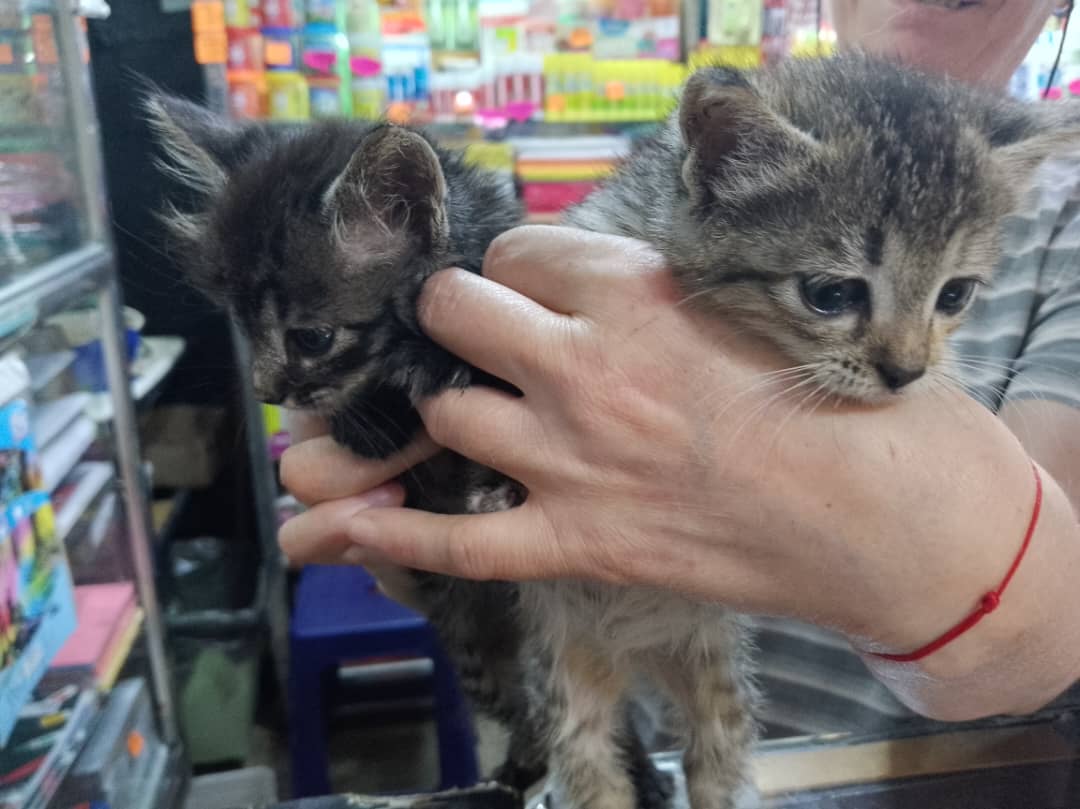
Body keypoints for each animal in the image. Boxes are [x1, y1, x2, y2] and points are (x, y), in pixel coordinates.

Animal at [145, 96, 673, 803]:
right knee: (534, 716)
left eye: (312, 337)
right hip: (472, 645)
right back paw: (509, 775)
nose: (264, 389)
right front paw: (374, 420)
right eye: (240, 326)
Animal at [540, 53, 1080, 807]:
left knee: (715, 756)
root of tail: (635, 646)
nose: (906, 371)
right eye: (832, 294)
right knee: (590, 765)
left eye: (955, 294)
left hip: (713, 667)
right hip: (574, 676)